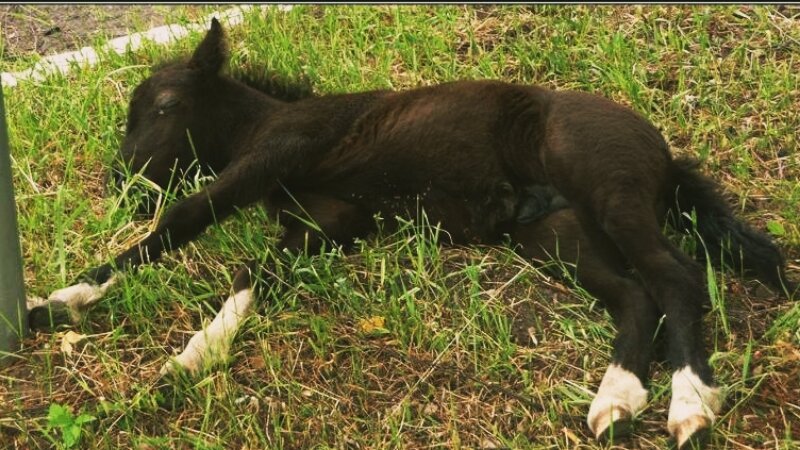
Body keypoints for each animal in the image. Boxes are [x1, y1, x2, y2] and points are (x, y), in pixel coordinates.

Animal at [29, 18, 792, 450]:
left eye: (164, 105)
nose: (122, 183)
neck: (262, 121)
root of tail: (665, 153)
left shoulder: (273, 155)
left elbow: (183, 220)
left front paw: (60, 302)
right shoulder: (320, 228)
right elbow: (253, 283)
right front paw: (196, 356)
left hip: (611, 195)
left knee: (675, 278)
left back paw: (690, 404)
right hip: (557, 232)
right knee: (635, 296)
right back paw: (617, 401)